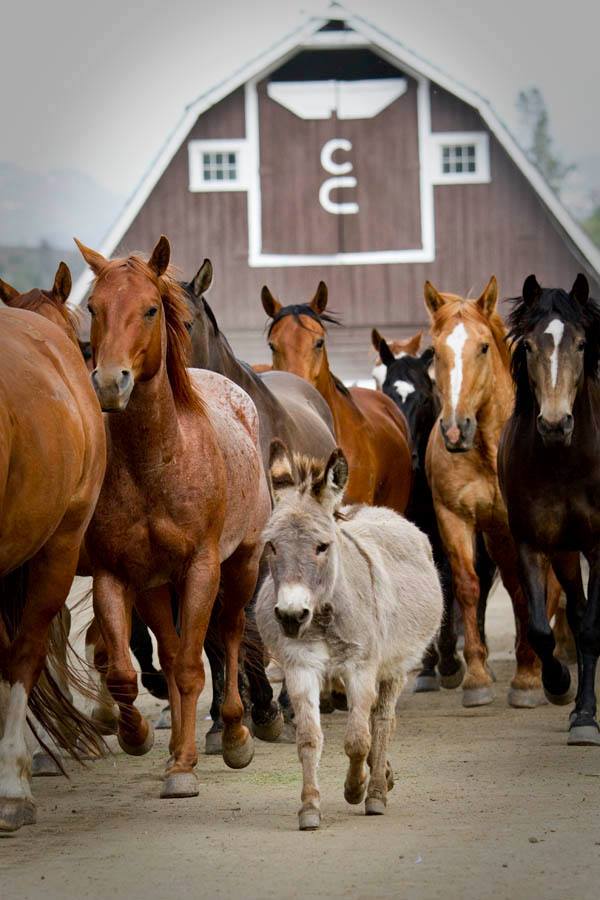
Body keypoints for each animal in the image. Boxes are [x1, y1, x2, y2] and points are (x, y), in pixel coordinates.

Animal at [75, 235, 271, 799]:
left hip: (242, 564)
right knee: (168, 646)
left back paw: (235, 732)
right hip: (159, 587)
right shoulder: (118, 575)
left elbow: (190, 664)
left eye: (150, 309)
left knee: (230, 633)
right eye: (93, 308)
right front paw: (137, 736)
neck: (155, 463)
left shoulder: (202, 568)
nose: (110, 383)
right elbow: (126, 669)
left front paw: (188, 764)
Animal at [256, 440, 443, 830]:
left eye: (322, 546)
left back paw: (377, 792)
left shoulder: (361, 668)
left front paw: (356, 789)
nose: (291, 616)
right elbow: (309, 739)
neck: (324, 616)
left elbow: (358, 739)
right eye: (272, 545)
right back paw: (382, 775)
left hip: (394, 667)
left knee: (382, 722)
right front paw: (309, 807)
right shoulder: (301, 668)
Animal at [424, 277, 543, 707]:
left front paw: (528, 677)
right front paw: (476, 676)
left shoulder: (519, 528)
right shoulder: (454, 517)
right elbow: (467, 585)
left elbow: (526, 591)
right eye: (435, 350)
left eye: (484, 346)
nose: (456, 430)